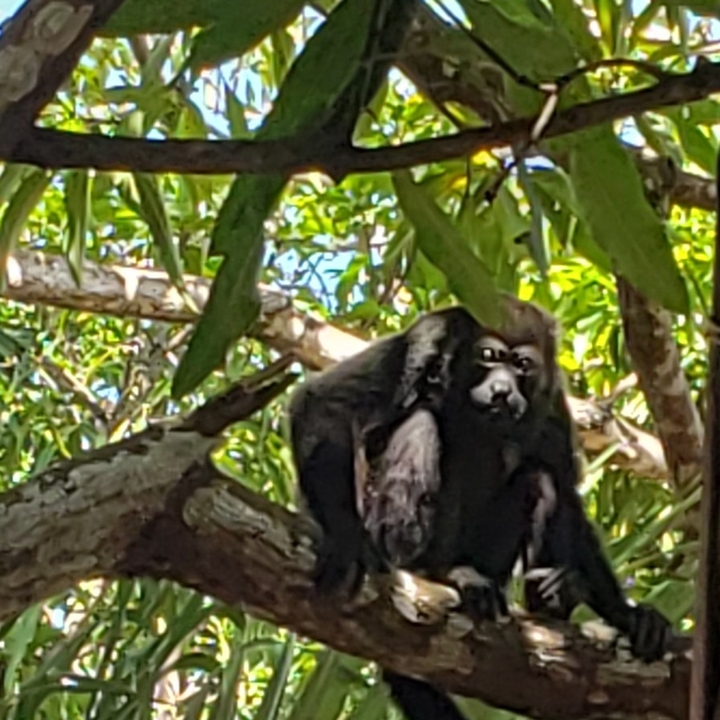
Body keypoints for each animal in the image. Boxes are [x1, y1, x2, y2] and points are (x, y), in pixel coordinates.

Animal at [287, 298, 672, 720]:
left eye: (522, 365)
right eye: (489, 357)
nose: (503, 390)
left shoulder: (551, 396)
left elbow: (564, 485)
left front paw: (626, 614)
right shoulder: (425, 339)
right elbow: (324, 402)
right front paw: (345, 538)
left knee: (539, 478)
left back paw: (552, 600)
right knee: (422, 424)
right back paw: (434, 572)